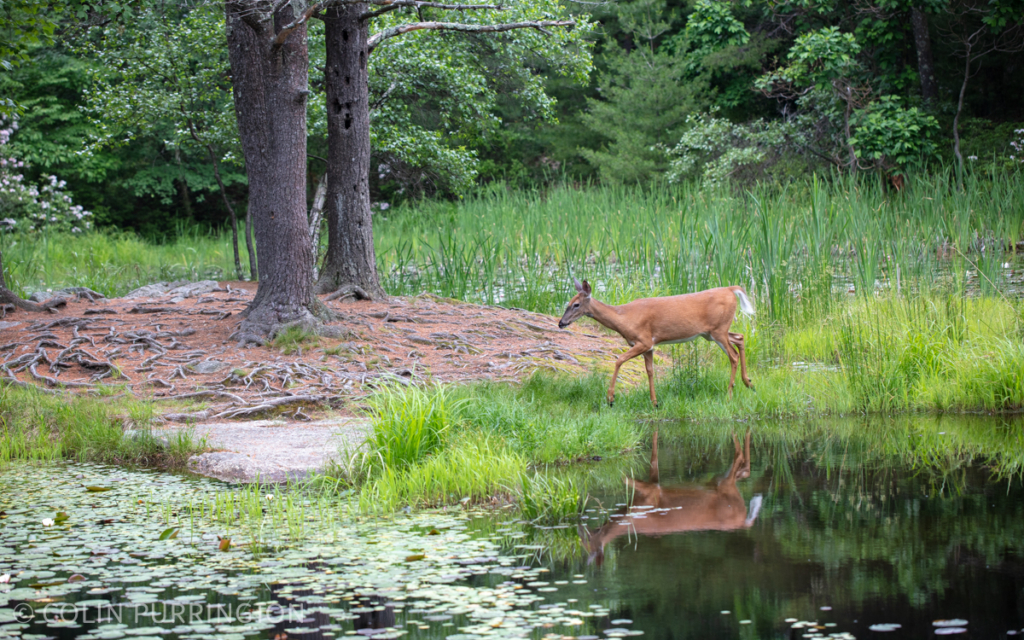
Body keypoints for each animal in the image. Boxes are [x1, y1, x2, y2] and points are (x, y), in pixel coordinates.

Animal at [561, 276, 753, 403]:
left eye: (576, 304)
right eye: (567, 303)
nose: (561, 323)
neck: (624, 317)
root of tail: (730, 289)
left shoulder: (644, 340)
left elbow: (619, 360)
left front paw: (610, 398)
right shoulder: (649, 346)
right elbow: (650, 371)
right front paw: (654, 402)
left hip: (718, 330)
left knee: (733, 355)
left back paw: (729, 394)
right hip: (712, 333)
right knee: (740, 337)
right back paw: (749, 383)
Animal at [577, 430, 761, 565]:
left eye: (587, 540)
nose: (579, 530)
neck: (632, 513)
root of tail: (742, 520)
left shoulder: (650, 493)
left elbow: (627, 479)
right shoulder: (651, 485)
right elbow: (653, 461)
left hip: (726, 486)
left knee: (740, 459)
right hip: (719, 481)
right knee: (743, 470)